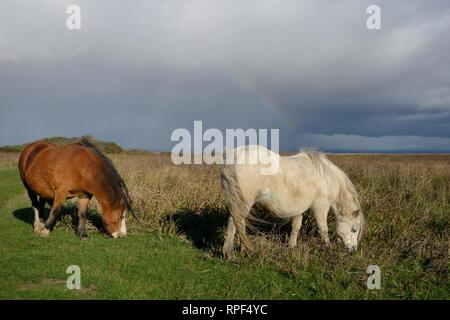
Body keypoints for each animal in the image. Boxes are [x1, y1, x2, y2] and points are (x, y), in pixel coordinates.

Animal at [221, 145, 366, 260]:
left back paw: (239, 250)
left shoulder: (299, 209)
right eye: (354, 229)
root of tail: (231, 155)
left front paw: (292, 246)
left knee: (237, 223)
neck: (326, 178)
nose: (353, 249)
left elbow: (296, 226)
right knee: (235, 224)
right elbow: (323, 229)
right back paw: (231, 253)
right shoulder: (320, 207)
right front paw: (328, 248)